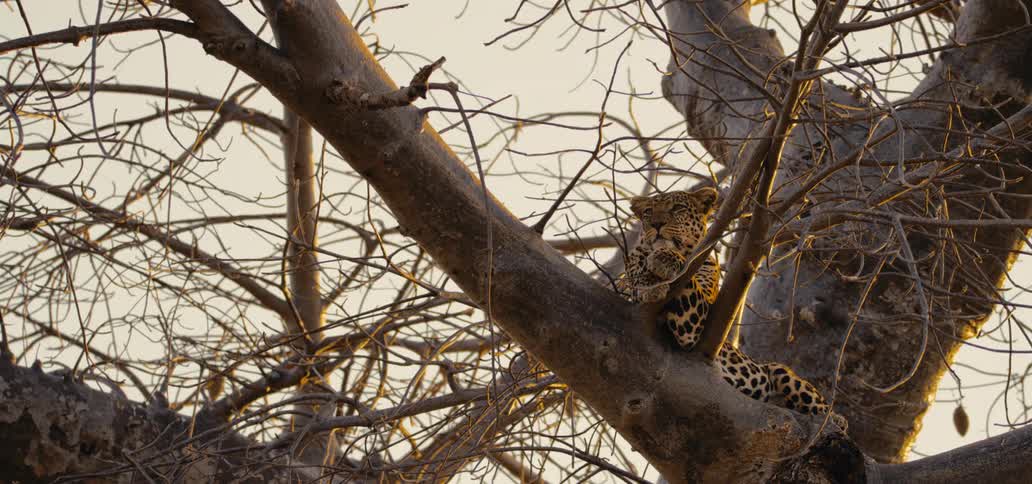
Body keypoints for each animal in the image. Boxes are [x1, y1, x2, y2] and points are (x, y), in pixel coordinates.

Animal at [617, 187, 837, 419]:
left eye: (677, 208)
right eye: (648, 212)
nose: (656, 224)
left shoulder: (697, 318)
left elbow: (686, 273)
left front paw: (665, 259)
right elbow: (636, 270)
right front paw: (649, 282)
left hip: (781, 372)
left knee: (821, 407)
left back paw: (836, 419)